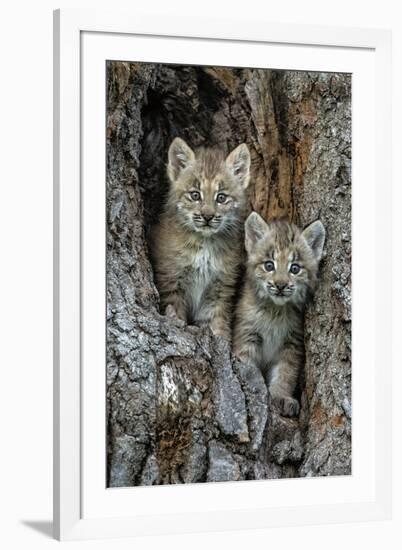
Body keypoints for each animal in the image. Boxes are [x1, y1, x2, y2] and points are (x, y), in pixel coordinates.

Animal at [152, 138, 250, 340]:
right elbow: (176, 313)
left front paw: (221, 340)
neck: (205, 243)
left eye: (221, 197)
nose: (207, 216)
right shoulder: (171, 281)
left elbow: (216, 322)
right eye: (195, 195)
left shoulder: (219, 289)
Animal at [234, 213, 326, 416]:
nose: (281, 285)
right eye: (269, 265)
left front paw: (280, 396)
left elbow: (286, 373)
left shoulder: (292, 343)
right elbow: (247, 365)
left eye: (295, 268)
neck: (275, 311)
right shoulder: (247, 334)